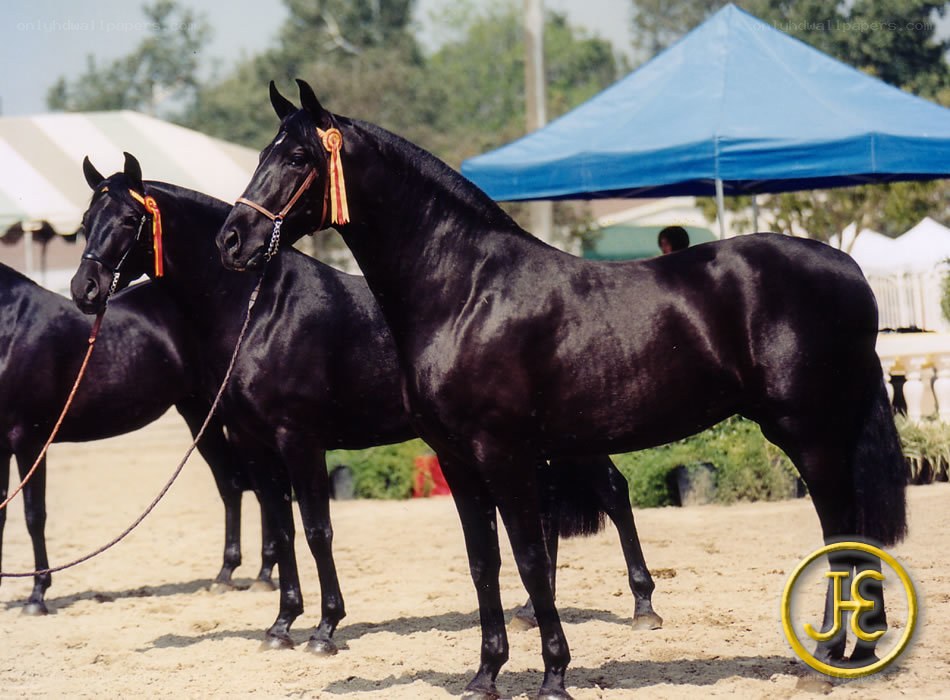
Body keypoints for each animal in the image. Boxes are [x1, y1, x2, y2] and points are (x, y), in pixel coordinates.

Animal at [0, 264, 270, 615]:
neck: (11, 326)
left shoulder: (30, 442)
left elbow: (34, 516)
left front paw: (37, 596)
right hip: (199, 413)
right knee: (231, 484)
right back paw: (225, 574)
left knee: (263, 489)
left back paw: (265, 575)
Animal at [69, 153, 662, 655]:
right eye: (84, 220)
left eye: (129, 218)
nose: (85, 288)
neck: (259, 311)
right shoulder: (257, 445)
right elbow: (281, 529)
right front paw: (281, 625)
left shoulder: (298, 440)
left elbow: (316, 529)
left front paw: (325, 628)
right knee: (548, 510)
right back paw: (527, 611)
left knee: (612, 491)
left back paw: (643, 606)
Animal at [216, 80, 907, 699]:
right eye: (263, 152)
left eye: (298, 156)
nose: (232, 239)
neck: (466, 291)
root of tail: (849, 268)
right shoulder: (457, 461)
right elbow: (484, 564)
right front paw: (485, 677)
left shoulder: (503, 453)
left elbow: (529, 559)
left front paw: (552, 677)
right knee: (856, 535)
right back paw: (860, 655)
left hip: (809, 435)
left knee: (841, 533)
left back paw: (827, 659)